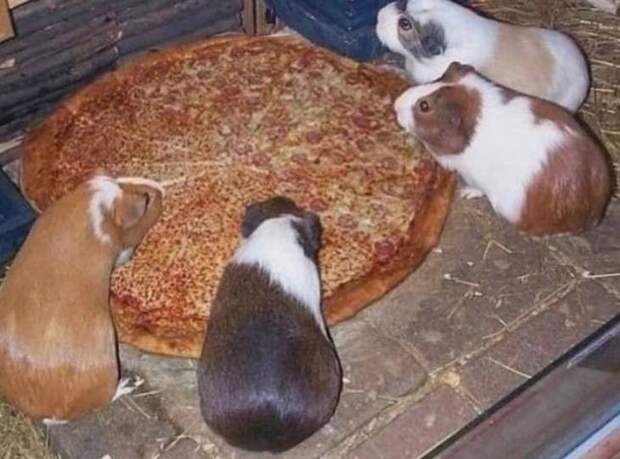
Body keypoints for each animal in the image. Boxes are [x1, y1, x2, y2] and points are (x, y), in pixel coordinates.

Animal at [394, 62, 612, 235]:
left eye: (424, 106)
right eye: (437, 78)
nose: (396, 105)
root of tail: (594, 211)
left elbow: (476, 188)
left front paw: (465, 193)